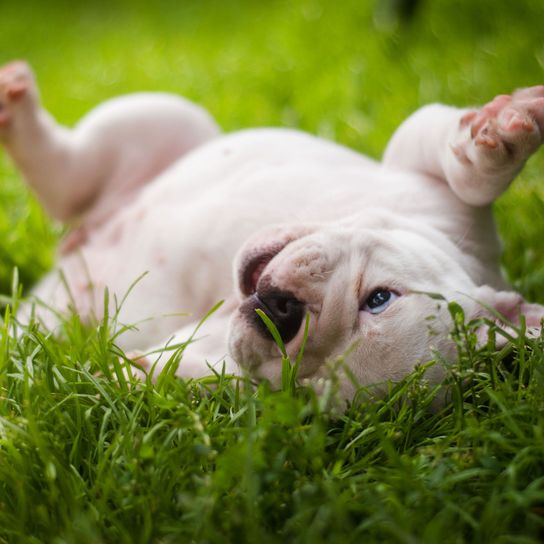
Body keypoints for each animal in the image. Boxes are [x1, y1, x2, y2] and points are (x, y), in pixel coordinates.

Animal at [1, 60, 544, 400]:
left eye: (303, 389)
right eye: (379, 299)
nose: (282, 315)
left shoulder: (218, 354)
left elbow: (192, 366)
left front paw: (134, 377)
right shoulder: (431, 183)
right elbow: (468, 175)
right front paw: (501, 136)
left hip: (54, 316)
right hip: (165, 119)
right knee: (76, 171)